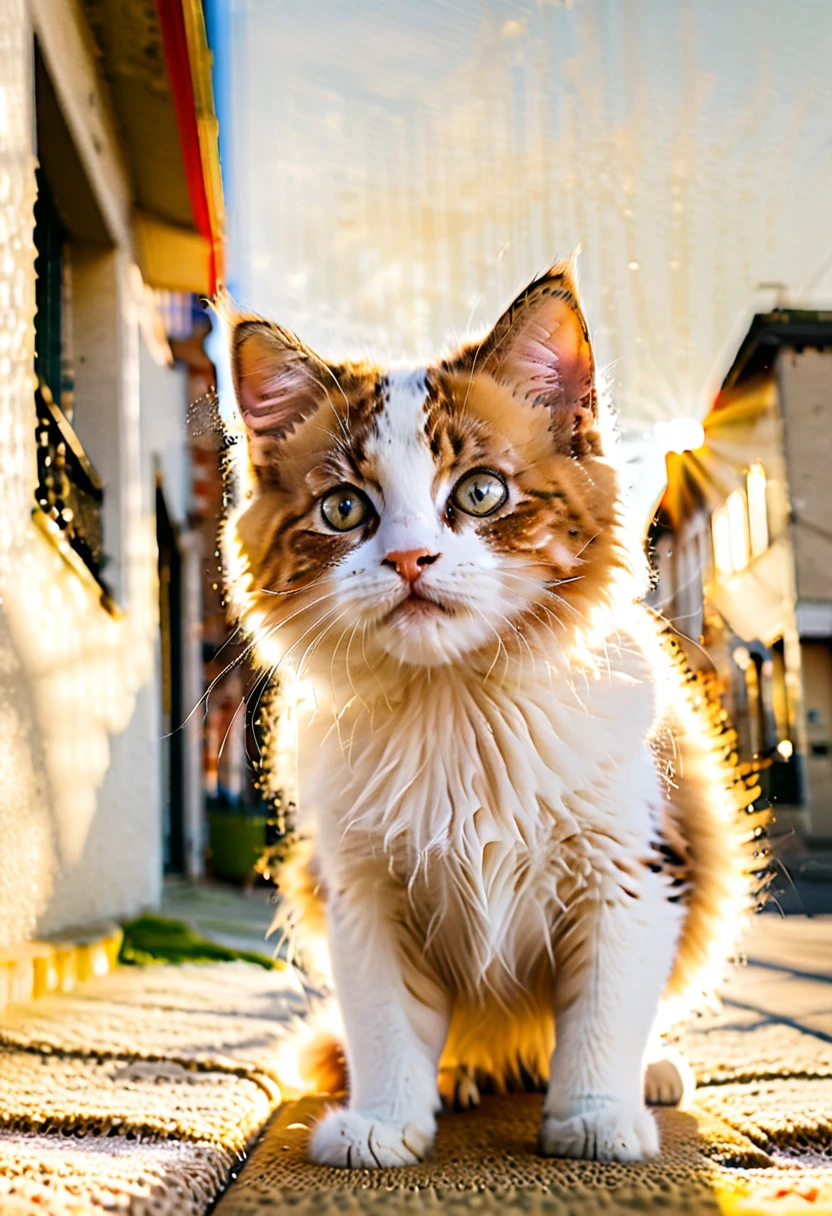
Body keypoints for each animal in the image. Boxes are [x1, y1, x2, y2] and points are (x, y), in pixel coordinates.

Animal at [218, 261, 768, 1162]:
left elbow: (604, 1012)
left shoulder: (632, 869)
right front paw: (386, 1122)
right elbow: (384, 1023)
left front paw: (594, 1117)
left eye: (480, 492)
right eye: (343, 509)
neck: (457, 704)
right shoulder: (360, 890)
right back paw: (461, 1075)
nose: (411, 558)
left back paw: (649, 1076)